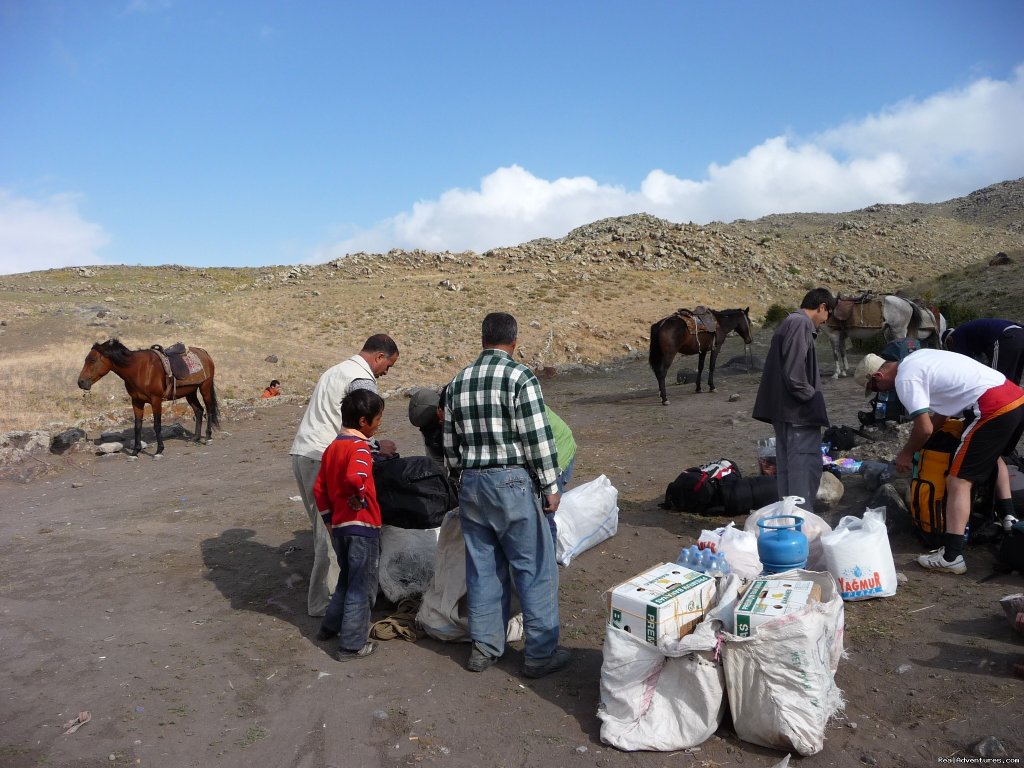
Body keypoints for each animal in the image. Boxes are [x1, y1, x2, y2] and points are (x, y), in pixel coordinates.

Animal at [76, 337, 219, 456]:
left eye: (92, 360)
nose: (81, 382)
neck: (139, 370)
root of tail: (204, 353)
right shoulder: (136, 402)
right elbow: (137, 426)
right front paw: (135, 451)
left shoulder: (156, 401)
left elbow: (157, 425)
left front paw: (159, 450)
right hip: (190, 392)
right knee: (199, 410)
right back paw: (195, 438)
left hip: (205, 387)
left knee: (209, 410)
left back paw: (208, 437)